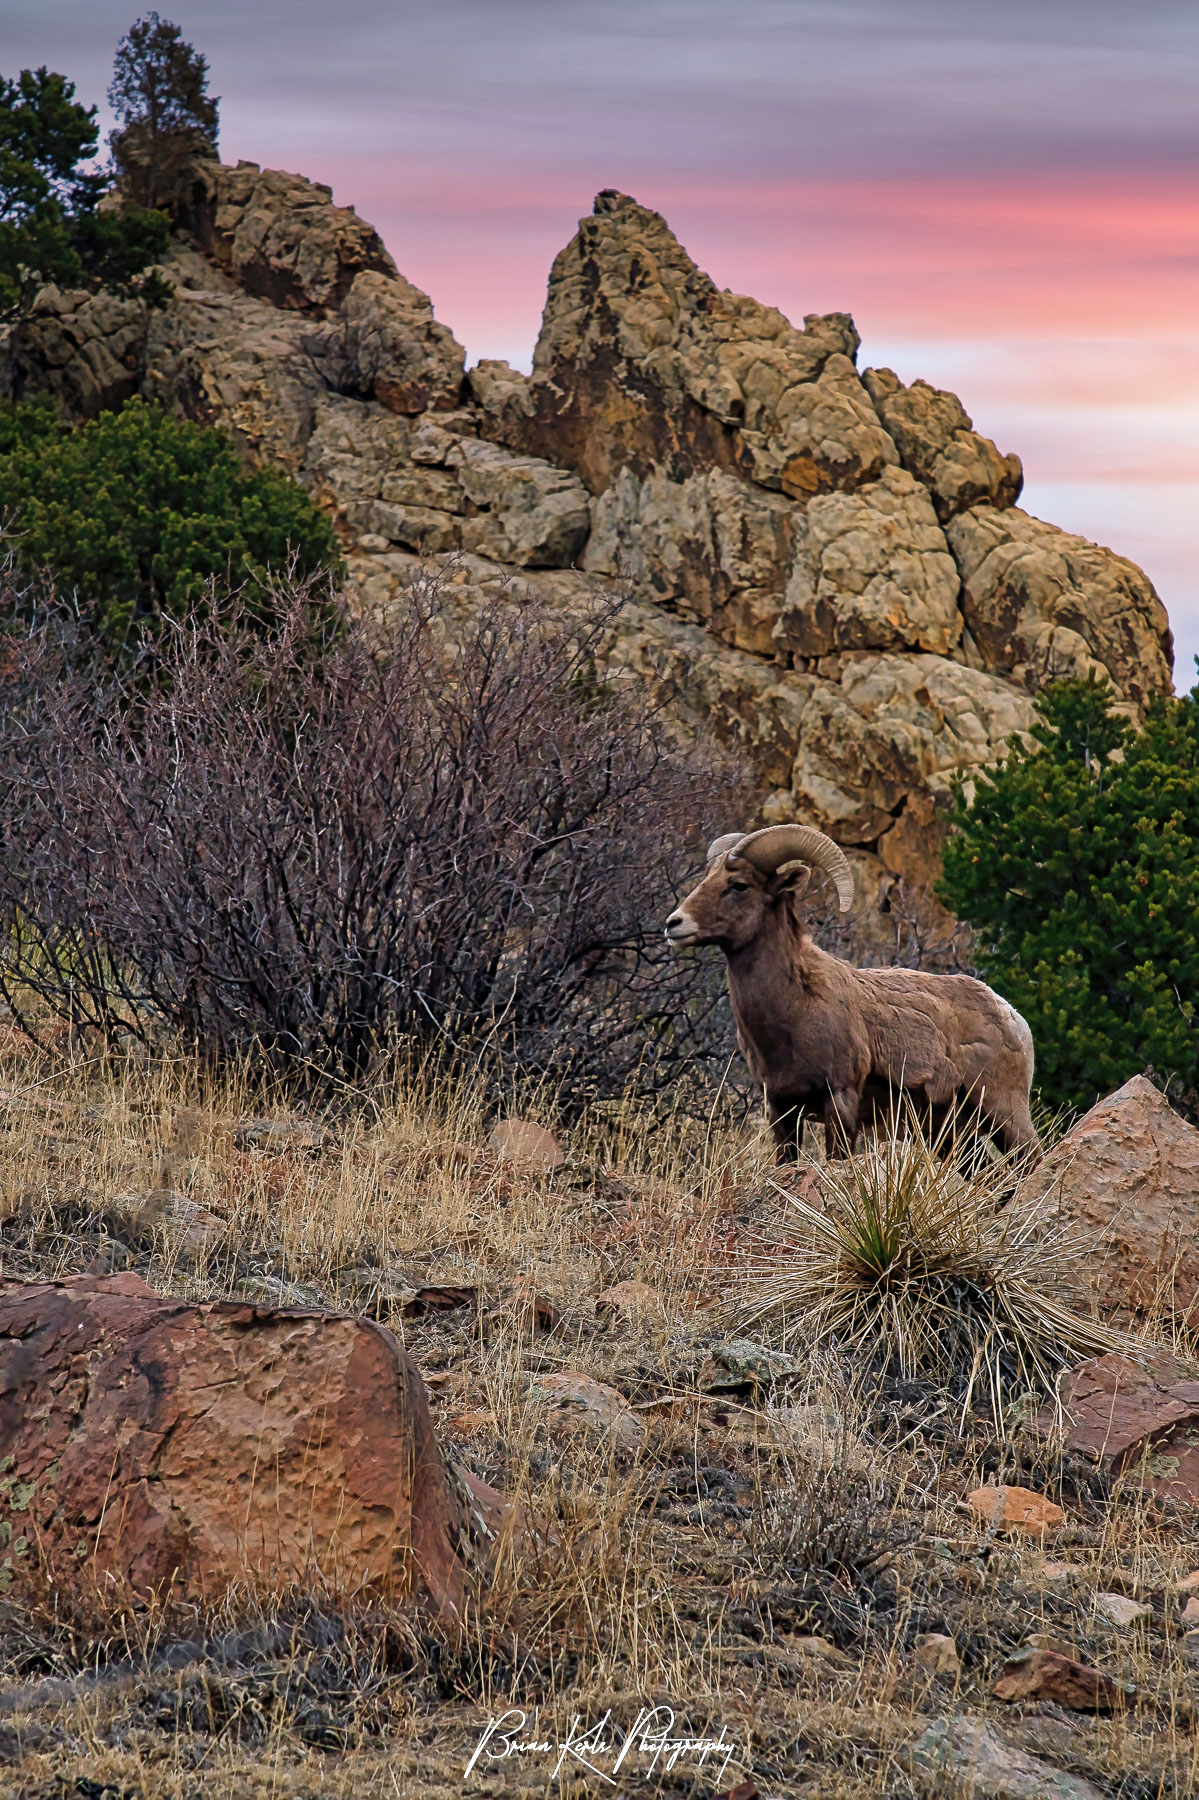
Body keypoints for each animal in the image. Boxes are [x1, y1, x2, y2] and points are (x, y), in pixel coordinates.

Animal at [662, 824, 1036, 1159]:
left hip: (1003, 1113)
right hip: (949, 1135)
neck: (794, 1011)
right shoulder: (781, 1109)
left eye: (739, 885)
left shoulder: (840, 1100)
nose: (674, 923)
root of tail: (1012, 1017)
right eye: (706, 878)